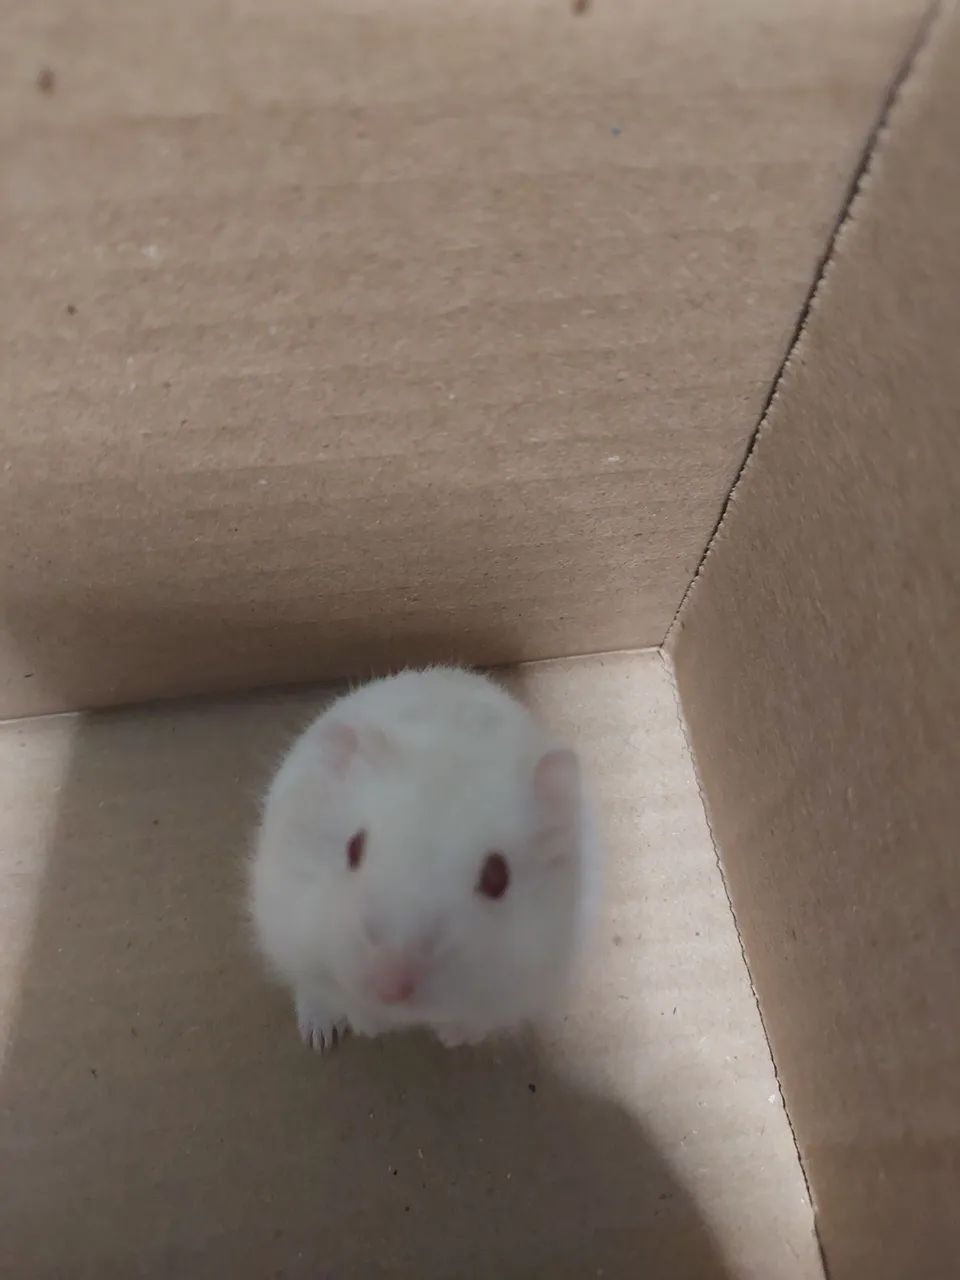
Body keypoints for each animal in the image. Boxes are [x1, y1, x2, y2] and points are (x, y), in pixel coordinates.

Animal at [248, 666, 598, 1052]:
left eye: (498, 877)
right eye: (353, 849)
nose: (390, 987)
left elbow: (470, 1019)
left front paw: (450, 1038)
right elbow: (344, 999)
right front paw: (369, 1027)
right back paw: (319, 1038)